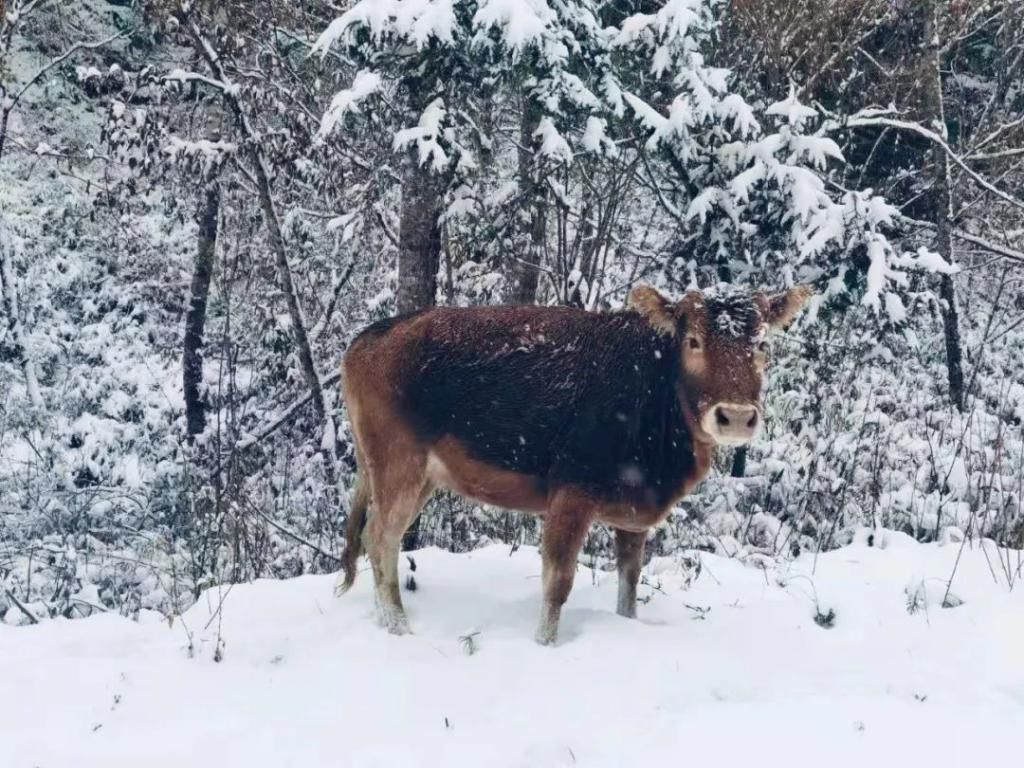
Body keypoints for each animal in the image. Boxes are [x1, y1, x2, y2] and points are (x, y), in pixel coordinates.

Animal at [339, 282, 811, 643]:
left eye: (763, 343)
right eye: (692, 340)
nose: (735, 416)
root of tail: (365, 340)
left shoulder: (633, 516)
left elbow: (629, 585)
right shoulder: (572, 493)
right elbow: (557, 583)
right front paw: (545, 644)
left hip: (418, 477)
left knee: (372, 536)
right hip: (399, 464)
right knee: (381, 538)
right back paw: (400, 629)